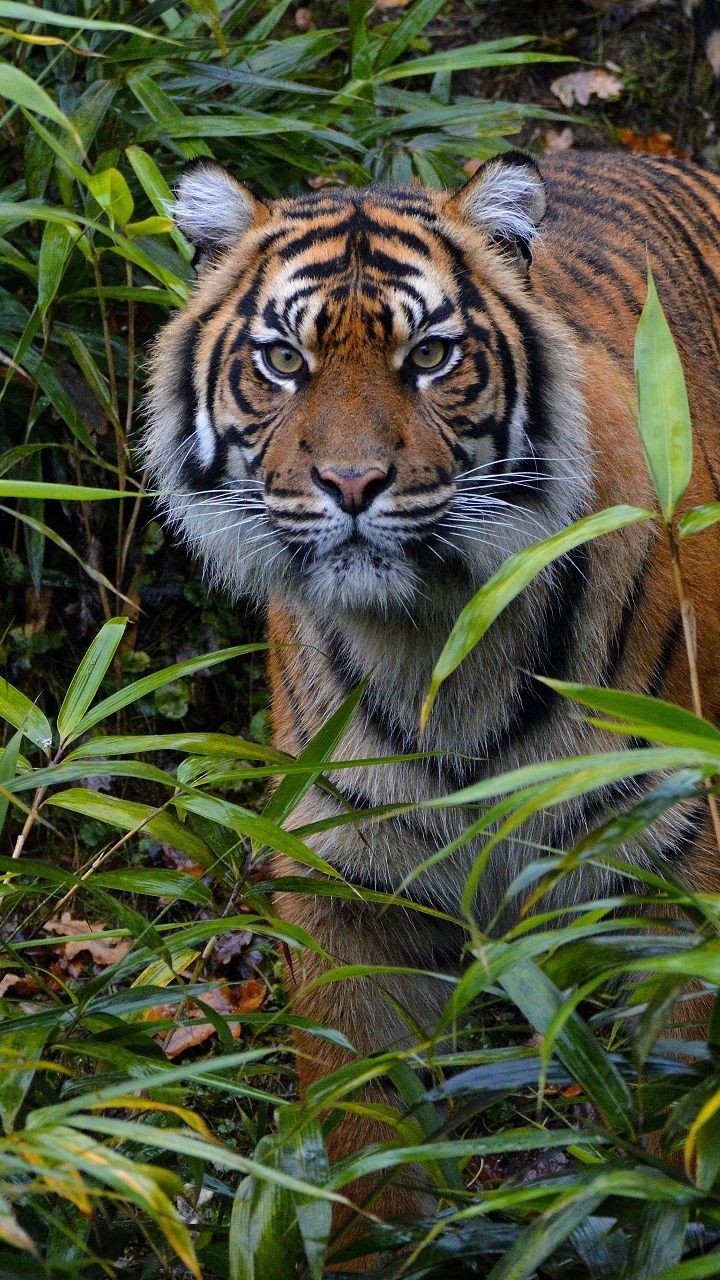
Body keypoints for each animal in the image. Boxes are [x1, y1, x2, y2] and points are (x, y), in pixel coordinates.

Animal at [142, 147, 717, 1218]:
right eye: (285, 362)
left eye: (431, 357)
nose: (352, 483)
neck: (439, 644)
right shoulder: (345, 885)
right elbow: (364, 1140)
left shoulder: (684, 853)